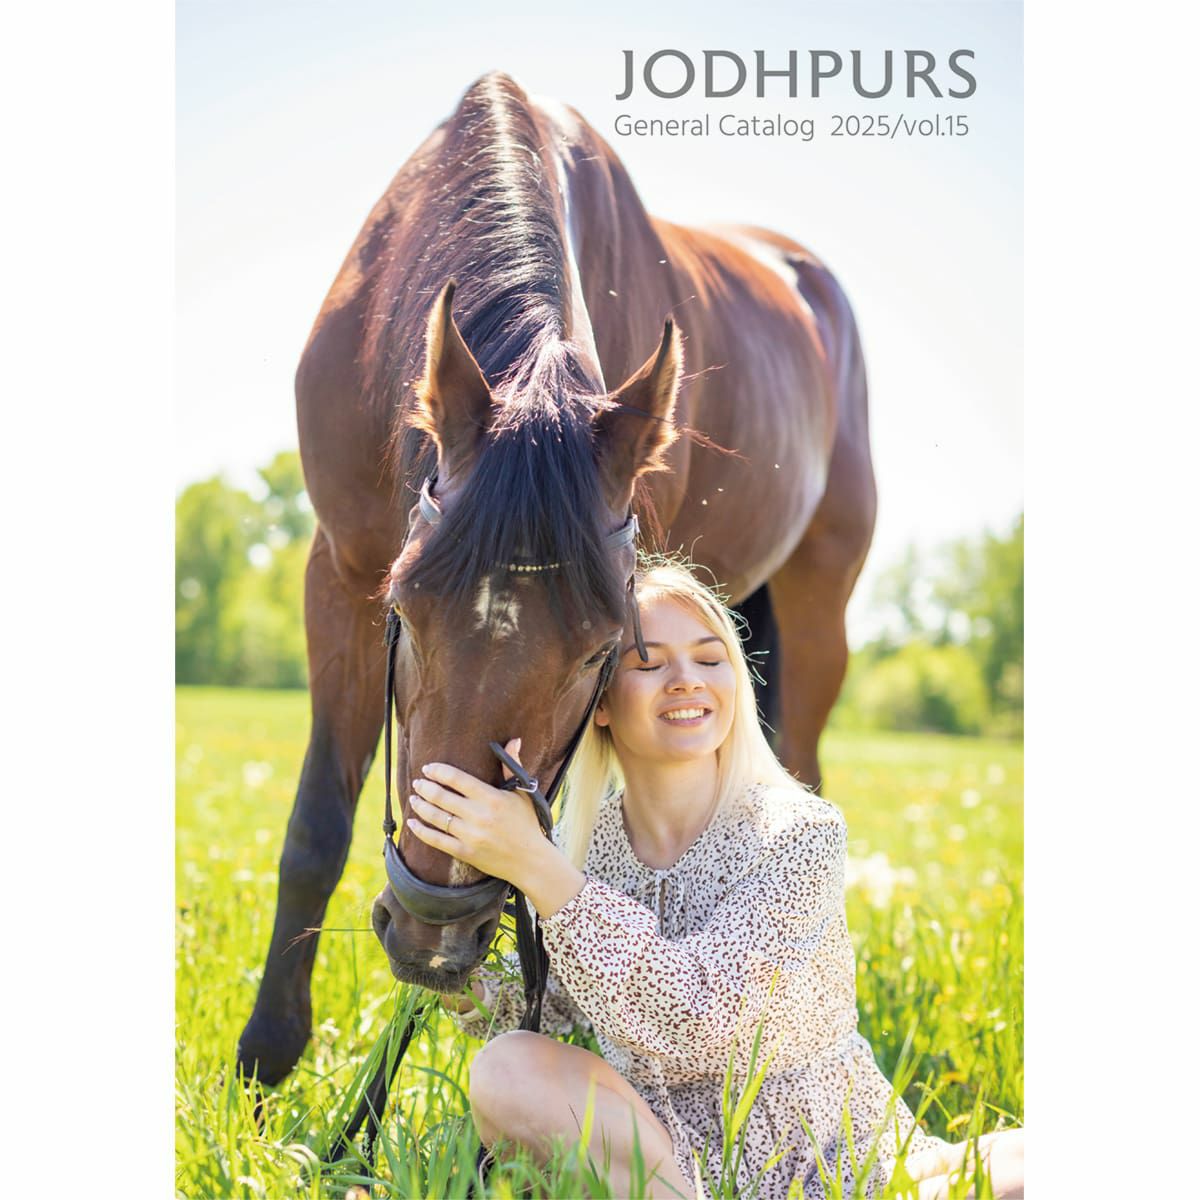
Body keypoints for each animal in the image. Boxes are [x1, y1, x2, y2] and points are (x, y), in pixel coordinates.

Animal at [237, 71, 876, 1087]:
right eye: (406, 612)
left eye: (601, 652)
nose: (434, 936)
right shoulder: (338, 570)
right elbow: (314, 830)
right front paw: (265, 1065)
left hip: (823, 607)